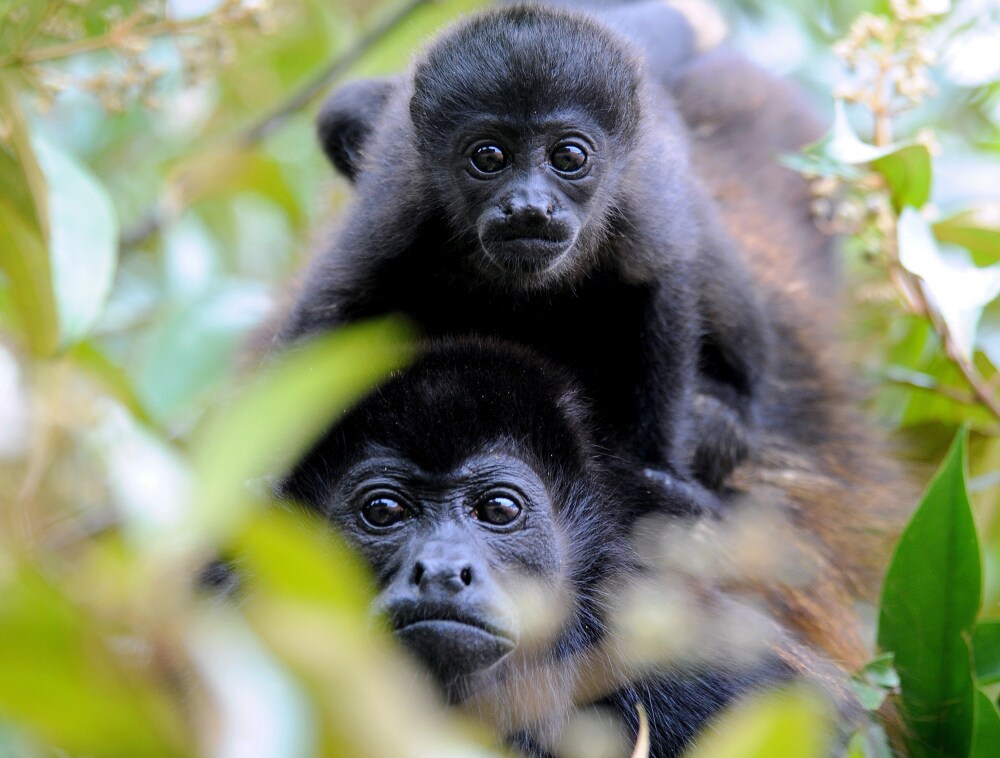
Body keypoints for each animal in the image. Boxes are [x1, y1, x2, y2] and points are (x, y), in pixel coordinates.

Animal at [279, 4, 771, 495]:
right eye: (489, 157)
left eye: (569, 157)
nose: (530, 207)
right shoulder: (397, 208)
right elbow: (332, 304)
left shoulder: (643, 206)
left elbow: (661, 287)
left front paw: (660, 471)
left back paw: (725, 414)